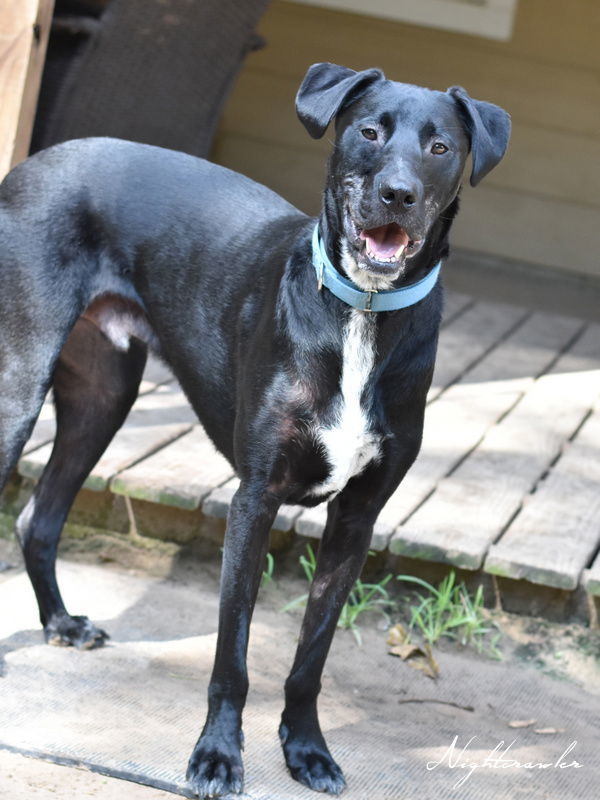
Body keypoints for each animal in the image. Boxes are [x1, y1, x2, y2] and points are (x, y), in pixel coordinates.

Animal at [0, 64, 508, 800]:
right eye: (369, 131)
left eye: (441, 147)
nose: (398, 195)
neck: (361, 313)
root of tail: (32, 164)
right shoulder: (254, 500)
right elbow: (231, 655)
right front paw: (217, 756)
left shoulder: (357, 519)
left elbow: (311, 653)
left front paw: (307, 749)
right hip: (19, 385)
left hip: (103, 397)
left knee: (38, 518)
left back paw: (61, 624)